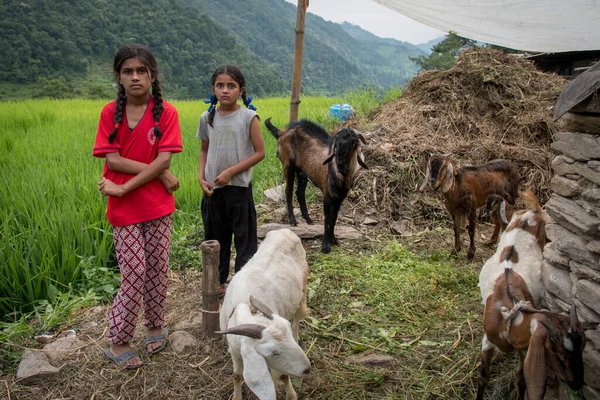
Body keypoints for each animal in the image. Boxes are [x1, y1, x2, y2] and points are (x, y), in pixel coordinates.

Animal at [217, 228, 312, 400]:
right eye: (273, 353)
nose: (306, 369)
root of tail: (285, 230)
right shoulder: (234, 350)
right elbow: (236, 375)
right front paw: (236, 396)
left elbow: (284, 375)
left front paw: (291, 394)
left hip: (302, 289)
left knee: (297, 319)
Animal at [266, 117, 368, 253]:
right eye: (336, 143)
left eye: (353, 142)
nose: (339, 160)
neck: (340, 174)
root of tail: (282, 132)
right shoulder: (327, 194)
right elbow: (327, 218)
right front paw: (325, 246)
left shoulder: (339, 198)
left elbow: (334, 218)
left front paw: (334, 240)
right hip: (288, 165)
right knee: (288, 191)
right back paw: (293, 221)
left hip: (302, 171)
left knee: (299, 192)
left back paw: (308, 219)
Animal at [476, 191, 584, 400]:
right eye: (555, 352)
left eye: (582, 348)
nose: (576, 384)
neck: (510, 313)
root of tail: (532, 212)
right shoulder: (487, 340)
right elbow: (483, 376)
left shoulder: (523, 347)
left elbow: (521, 378)